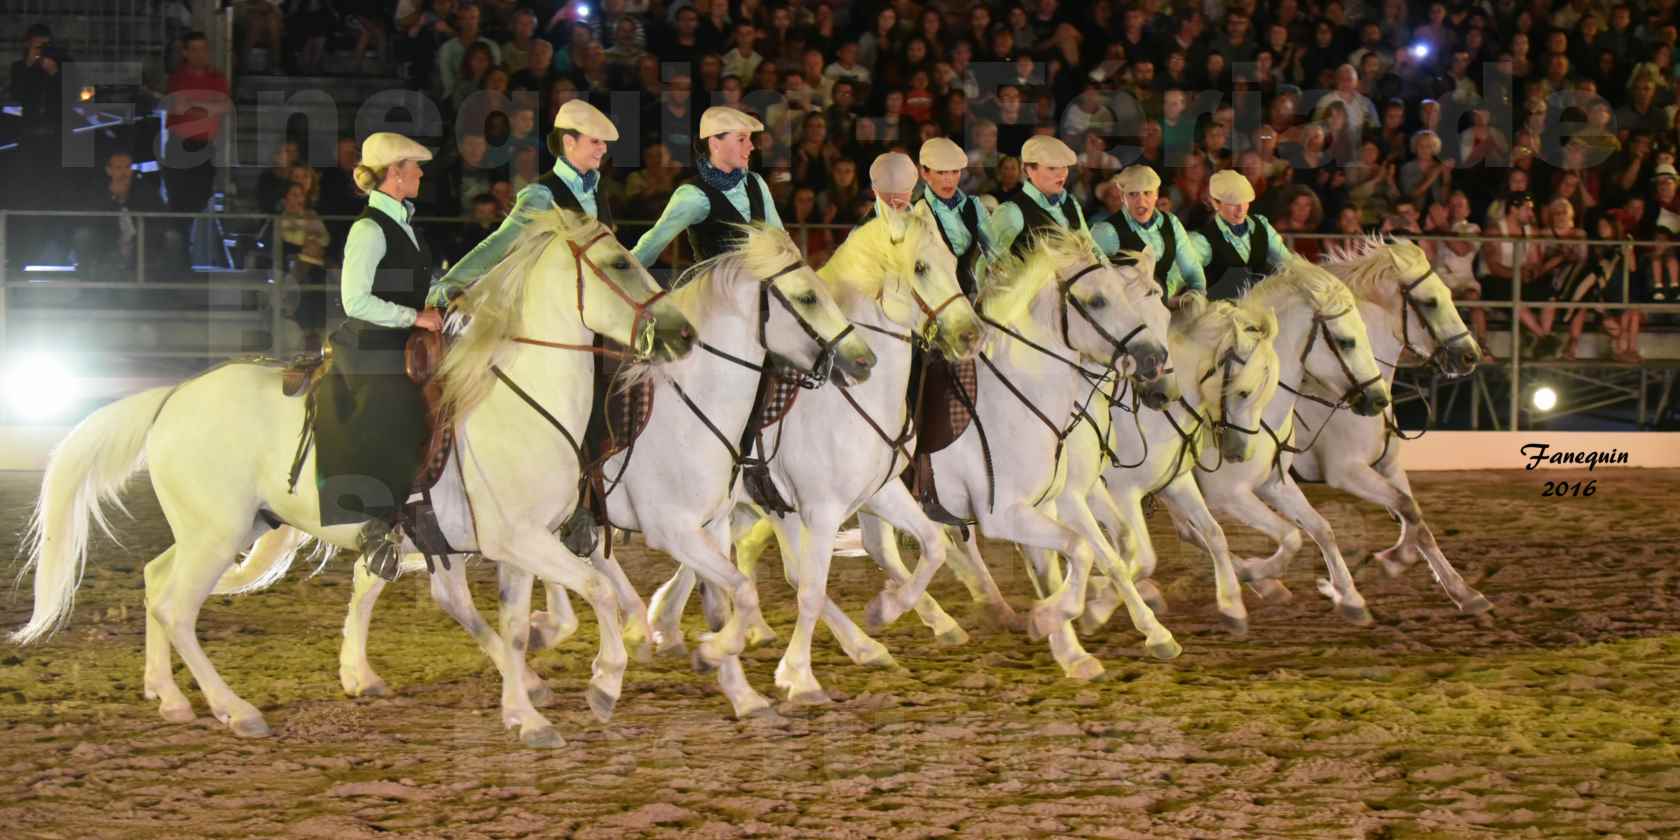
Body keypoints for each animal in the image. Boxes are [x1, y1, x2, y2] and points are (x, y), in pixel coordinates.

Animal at [13, 211, 695, 749]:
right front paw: (603, 683)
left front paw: (524, 713)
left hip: (221, 529)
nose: (682, 333)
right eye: (620, 262)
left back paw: (171, 697)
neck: (515, 399)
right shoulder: (519, 541)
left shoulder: (517, 546)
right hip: (215, 536)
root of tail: (171, 398)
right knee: (176, 608)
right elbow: (596, 590)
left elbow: (514, 626)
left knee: (155, 582)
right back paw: (236, 710)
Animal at [320, 226, 887, 719]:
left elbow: (734, 595)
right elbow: (754, 589)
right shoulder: (675, 527)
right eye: (808, 297)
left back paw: (365, 673)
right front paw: (711, 655)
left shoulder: (719, 522)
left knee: (386, 576)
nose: (863, 361)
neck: (695, 402)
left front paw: (727, 670)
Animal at [638, 203, 981, 702]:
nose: (971, 335)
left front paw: (888, 611)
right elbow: (811, 587)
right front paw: (798, 675)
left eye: (954, 264)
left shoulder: (879, 493)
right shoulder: (821, 509)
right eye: (920, 267)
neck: (853, 397)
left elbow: (933, 546)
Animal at [1196, 255, 1391, 624]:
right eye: (1346, 341)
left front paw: (1349, 596)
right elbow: (1290, 536)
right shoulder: (1228, 495)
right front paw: (1255, 574)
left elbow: (1319, 529)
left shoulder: (1274, 484)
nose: (1378, 399)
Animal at [1276, 240, 1491, 614]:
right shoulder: (1347, 472)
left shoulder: (1388, 465)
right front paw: (1392, 561)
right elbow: (1406, 508)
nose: (1470, 356)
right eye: (1430, 302)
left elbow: (1417, 519)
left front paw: (1463, 592)